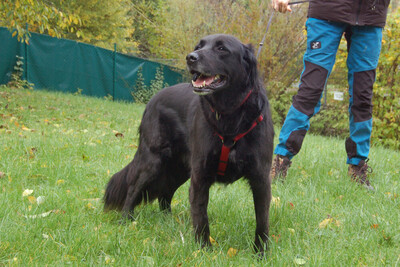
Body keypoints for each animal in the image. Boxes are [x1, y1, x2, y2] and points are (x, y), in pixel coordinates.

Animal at [103, 34, 274, 254]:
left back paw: (168, 220)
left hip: (180, 168)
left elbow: (262, 220)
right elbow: (201, 216)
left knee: (165, 193)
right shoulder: (200, 175)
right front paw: (203, 250)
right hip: (153, 160)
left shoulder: (261, 177)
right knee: (133, 188)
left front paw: (260, 253)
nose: (190, 57)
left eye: (221, 48)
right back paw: (126, 221)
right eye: (198, 46)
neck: (229, 116)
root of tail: (152, 100)